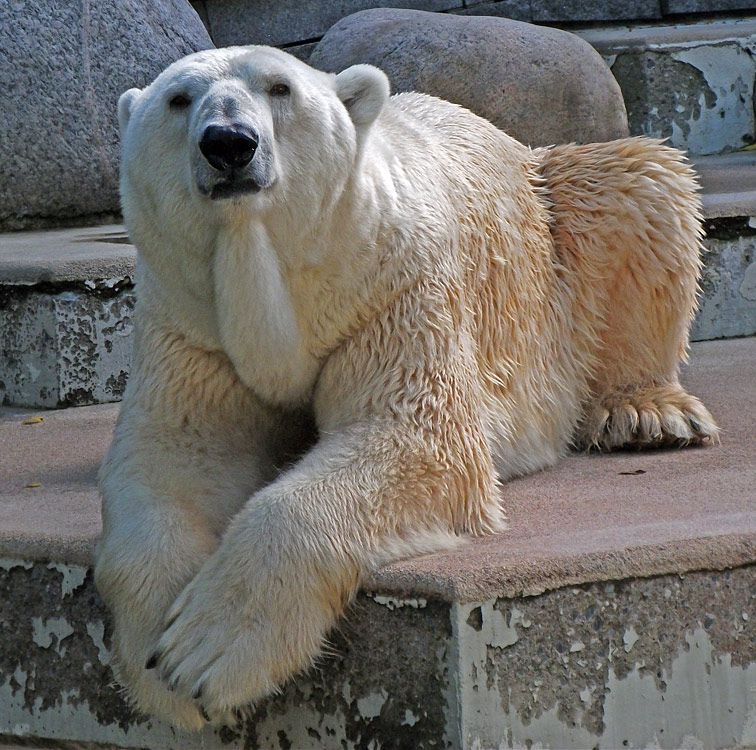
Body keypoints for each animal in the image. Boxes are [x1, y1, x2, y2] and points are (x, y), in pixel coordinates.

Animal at [96, 42, 720, 728]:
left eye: (280, 87)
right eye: (177, 99)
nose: (229, 143)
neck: (278, 273)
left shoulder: (389, 285)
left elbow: (415, 436)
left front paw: (208, 651)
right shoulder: (192, 321)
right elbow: (178, 454)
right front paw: (158, 658)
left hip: (553, 223)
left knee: (635, 178)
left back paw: (645, 412)